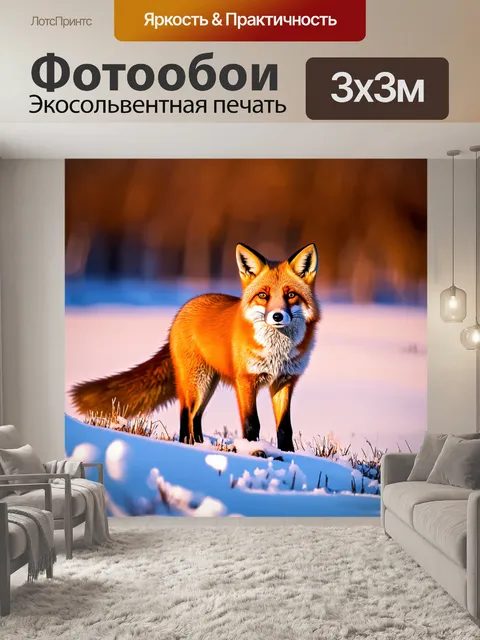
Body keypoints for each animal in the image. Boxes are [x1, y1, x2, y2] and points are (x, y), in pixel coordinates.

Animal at [70, 243, 321, 452]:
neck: (277, 352)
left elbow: (284, 428)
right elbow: (252, 424)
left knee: (196, 416)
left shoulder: (285, 381)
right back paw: (187, 445)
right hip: (196, 383)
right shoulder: (246, 381)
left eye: (290, 295)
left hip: (208, 384)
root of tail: (184, 308)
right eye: (263, 295)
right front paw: (254, 452)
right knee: (185, 413)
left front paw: (288, 455)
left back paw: (199, 445)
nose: (277, 316)